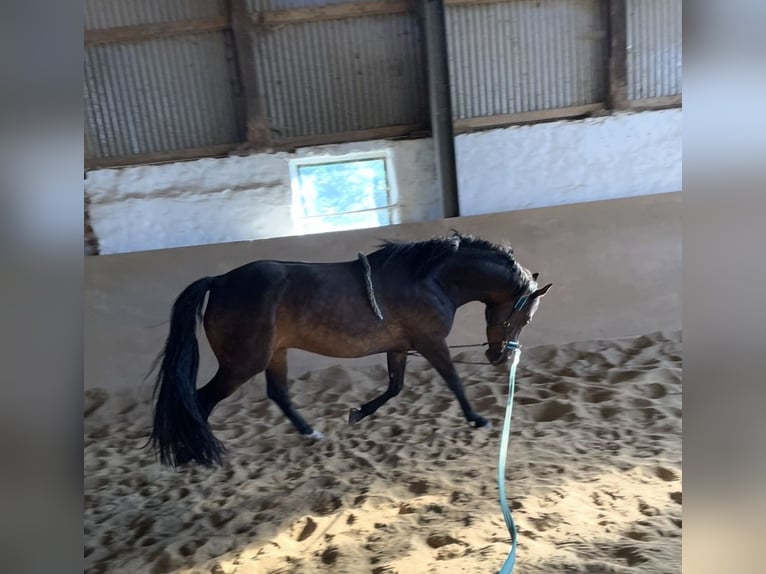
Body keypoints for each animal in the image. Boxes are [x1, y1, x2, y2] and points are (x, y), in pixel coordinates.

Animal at [149, 232, 552, 468]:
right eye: (526, 317)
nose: (501, 356)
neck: (430, 279)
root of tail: (219, 282)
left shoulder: (400, 347)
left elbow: (395, 387)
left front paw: (357, 413)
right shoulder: (431, 343)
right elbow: (454, 381)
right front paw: (477, 418)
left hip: (274, 353)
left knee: (277, 393)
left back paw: (310, 433)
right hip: (242, 363)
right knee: (200, 401)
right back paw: (194, 454)